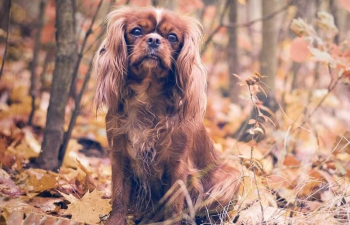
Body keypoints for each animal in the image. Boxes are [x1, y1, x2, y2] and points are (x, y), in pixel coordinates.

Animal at [93, 6, 241, 224]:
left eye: (172, 37)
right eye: (136, 31)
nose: (154, 40)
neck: (147, 97)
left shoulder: (177, 165)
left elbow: (173, 206)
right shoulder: (119, 156)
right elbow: (119, 197)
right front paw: (115, 221)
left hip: (230, 178)